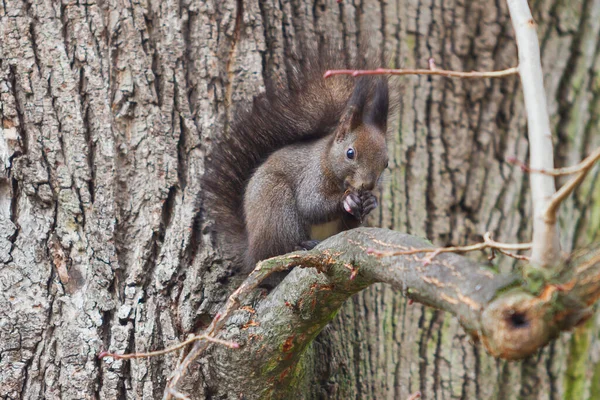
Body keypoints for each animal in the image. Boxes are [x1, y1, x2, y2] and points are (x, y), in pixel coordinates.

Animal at [203, 45, 390, 274]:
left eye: (386, 163)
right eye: (350, 153)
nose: (368, 185)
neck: (328, 160)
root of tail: (251, 251)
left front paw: (370, 201)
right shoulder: (312, 175)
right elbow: (310, 204)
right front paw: (347, 199)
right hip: (277, 206)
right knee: (277, 249)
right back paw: (300, 245)